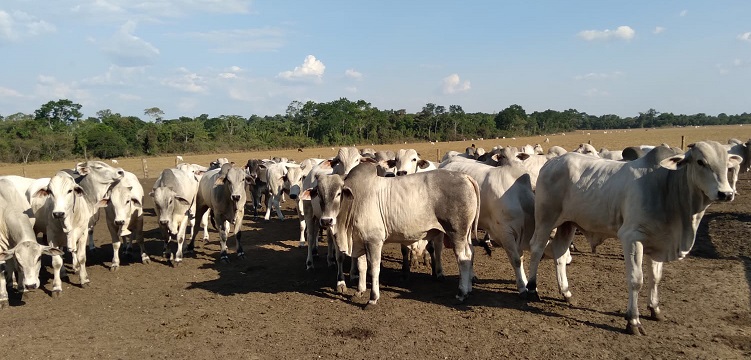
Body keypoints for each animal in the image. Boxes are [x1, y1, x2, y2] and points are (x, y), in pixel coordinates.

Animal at [524, 143, 744, 334]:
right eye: (700, 162)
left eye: (727, 163)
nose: (726, 193)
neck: (667, 185)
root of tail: (551, 162)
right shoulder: (631, 237)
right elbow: (636, 280)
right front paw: (633, 321)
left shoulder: (658, 241)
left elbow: (656, 277)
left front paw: (655, 308)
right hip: (546, 219)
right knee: (537, 248)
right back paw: (532, 289)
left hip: (568, 224)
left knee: (560, 255)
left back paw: (566, 293)